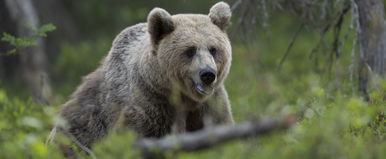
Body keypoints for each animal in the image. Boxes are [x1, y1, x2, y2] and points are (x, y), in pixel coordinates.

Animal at [49, 1, 235, 150]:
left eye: (213, 49)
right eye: (190, 50)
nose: (207, 74)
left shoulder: (209, 105)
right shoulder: (148, 104)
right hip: (75, 133)